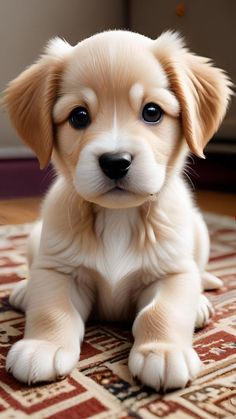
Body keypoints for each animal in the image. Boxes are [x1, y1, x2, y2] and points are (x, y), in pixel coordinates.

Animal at [4, 31, 232, 392]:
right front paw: (44, 345)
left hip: (200, 233)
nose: (116, 162)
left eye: (152, 112)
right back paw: (26, 291)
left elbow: (162, 311)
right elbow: (52, 309)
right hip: (35, 238)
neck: (118, 217)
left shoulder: (172, 273)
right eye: (79, 116)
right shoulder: (59, 270)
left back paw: (199, 303)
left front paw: (162, 352)